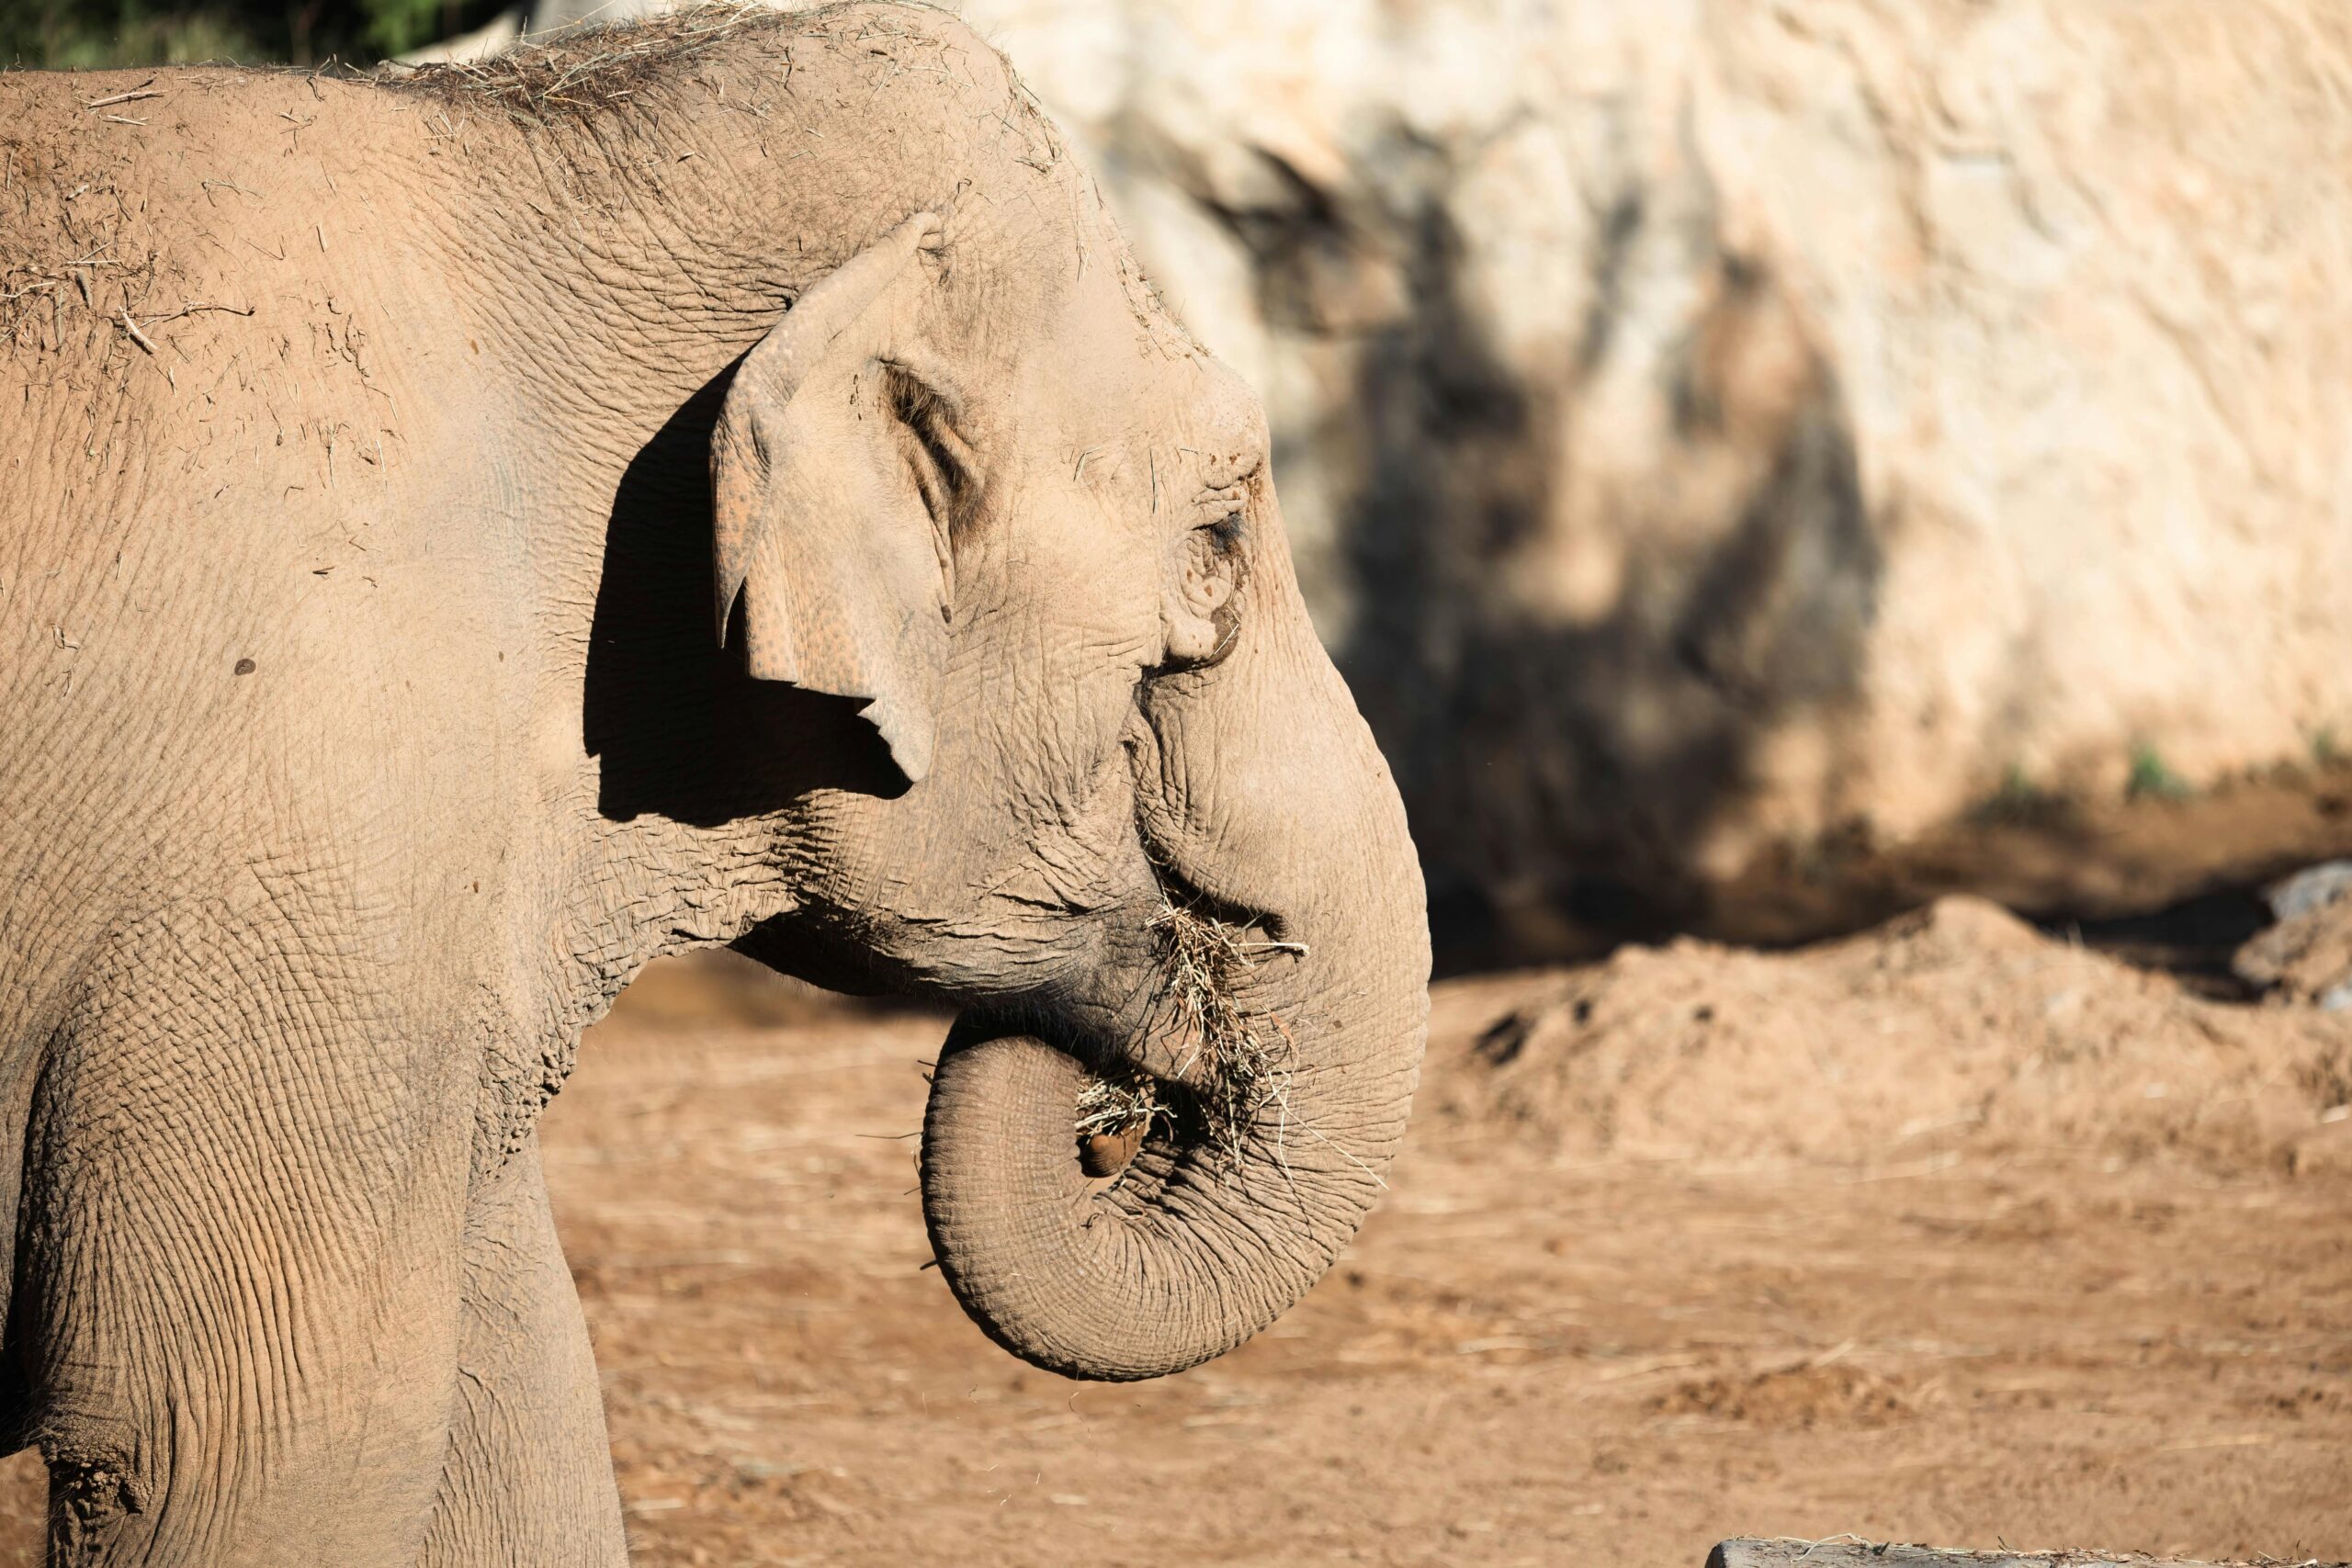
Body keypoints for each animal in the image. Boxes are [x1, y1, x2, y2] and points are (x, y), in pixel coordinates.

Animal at [0, 3, 1428, 1563]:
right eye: (1218, 544)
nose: (1120, 1121)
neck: (521, 145)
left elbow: (520, 1394)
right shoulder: (309, 823)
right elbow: (249, 1437)